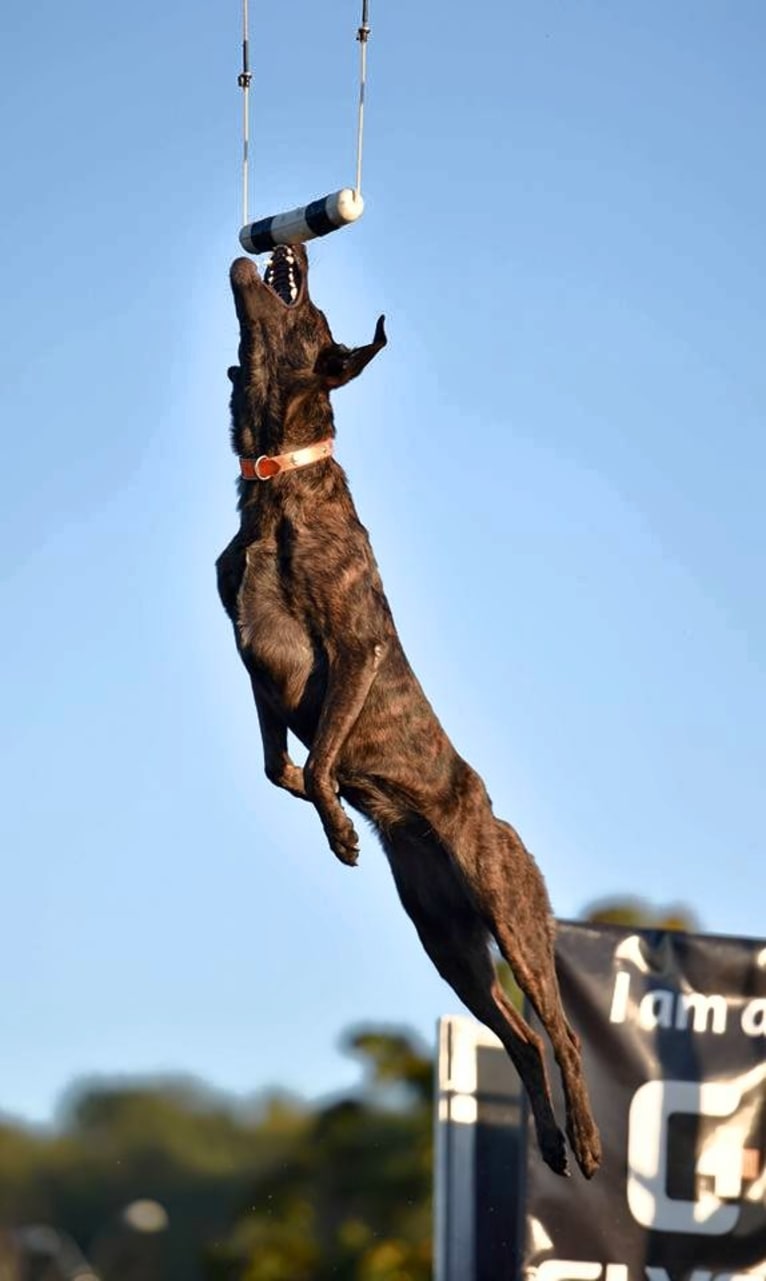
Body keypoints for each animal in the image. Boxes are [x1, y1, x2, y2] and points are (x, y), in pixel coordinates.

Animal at [216, 244, 599, 1173]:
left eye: (310, 313)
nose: (289, 250)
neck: (277, 485)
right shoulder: (253, 662)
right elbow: (275, 761)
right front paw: (308, 800)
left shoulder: (354, 648)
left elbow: (320, 756)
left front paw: (338, 828)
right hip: (447, 941)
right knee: (521, 1042)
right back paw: (550, 1142)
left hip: (512, 919)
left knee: (561, 1034)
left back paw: (588, 1140)